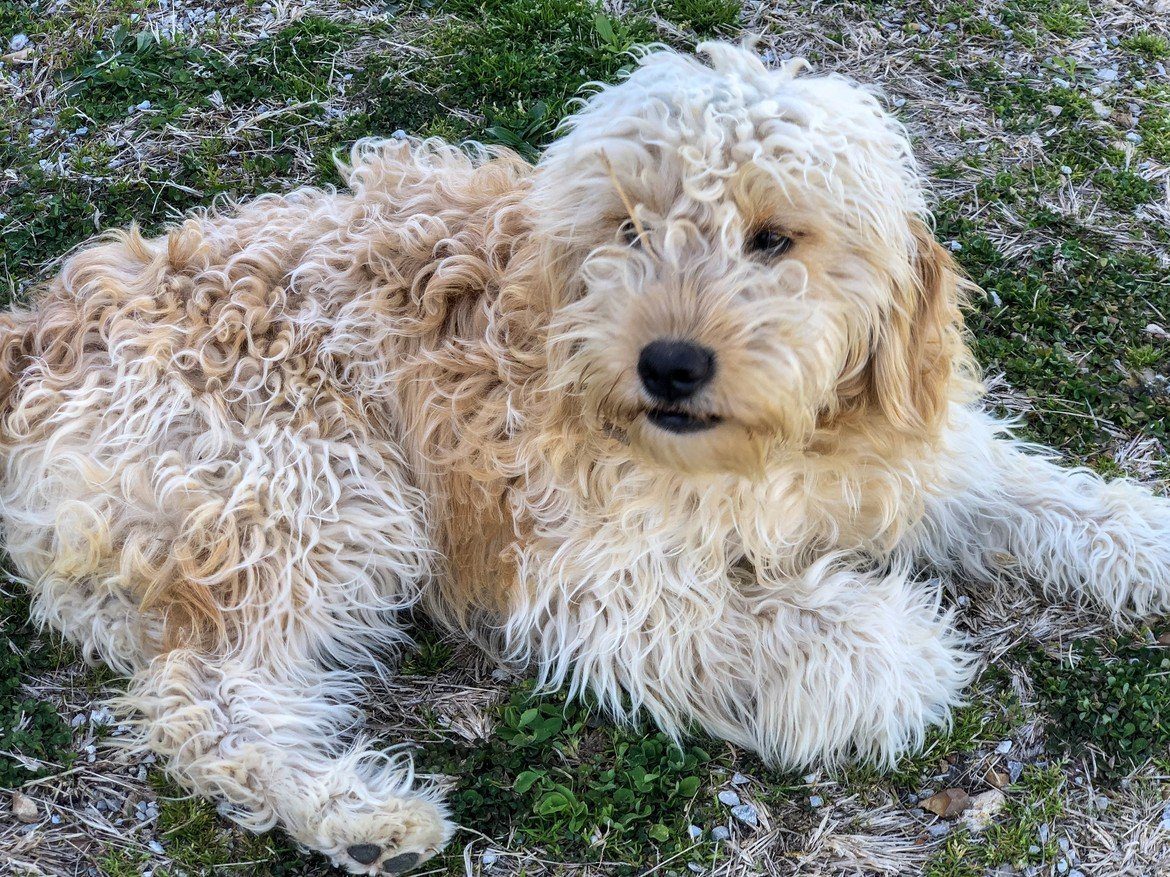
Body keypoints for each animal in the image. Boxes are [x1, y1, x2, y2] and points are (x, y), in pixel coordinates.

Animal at [2, 39, 1170, 874]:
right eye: (630, 229)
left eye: (774, 238)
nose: (670, 363)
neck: (764, 450)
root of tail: (37, 327)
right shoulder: (599, 584)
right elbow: (867, 649)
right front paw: (897, 637)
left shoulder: (908, 455)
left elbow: (1037, 493)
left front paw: (1142, 538)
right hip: (320, 490)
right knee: (210, 694)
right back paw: (361, 815)